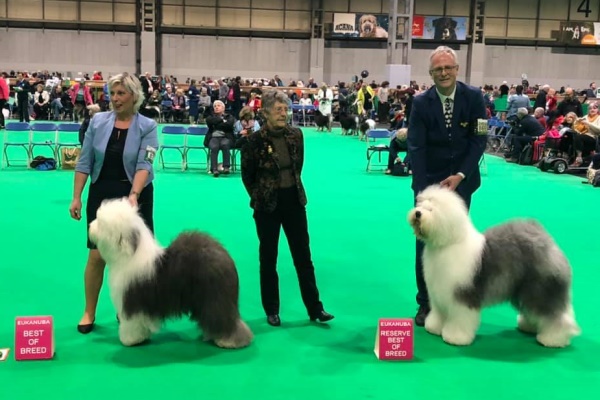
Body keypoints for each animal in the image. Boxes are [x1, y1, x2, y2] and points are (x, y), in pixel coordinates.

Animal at [88, 198, 254, 349]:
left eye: (101, 224)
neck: (128, 256)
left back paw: (229, 341)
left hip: (215, 298)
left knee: (226, 320)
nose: (89, 226)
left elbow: (132, 324)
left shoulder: (132, 302)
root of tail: (226, 256)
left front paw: (130, 340)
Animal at [407, 185, 580, 348]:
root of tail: (547, 240)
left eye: (431, 209)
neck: (447, 244)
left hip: (542, 289)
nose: (417, 213)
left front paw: (455, 337)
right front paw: (434, 328)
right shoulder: (439, 293)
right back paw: (529, 326)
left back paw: (553, 338)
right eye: (421, 205)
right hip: (524, 289)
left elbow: (460, 317)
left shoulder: (462, 295)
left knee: (554, 315)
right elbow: (439, 313)